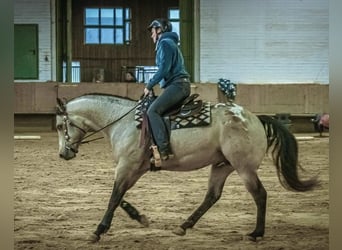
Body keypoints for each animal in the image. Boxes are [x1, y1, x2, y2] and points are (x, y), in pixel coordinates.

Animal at [54, 93, 320, 242]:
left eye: (58, 126)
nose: (63, 153)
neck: (123, 121)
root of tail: (255, 118)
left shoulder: (126, 166)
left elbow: (113, 196)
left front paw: (98, 231)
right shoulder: (134, 168)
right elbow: (119, 197)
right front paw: (140, 217)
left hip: (244, 168)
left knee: (260, 195)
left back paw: (256, 233)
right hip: (221, 165)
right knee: (212, 196)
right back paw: (184, 226)